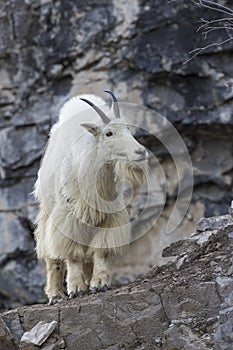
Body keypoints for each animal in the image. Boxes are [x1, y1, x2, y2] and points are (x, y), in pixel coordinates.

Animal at [33, 91, 148, 304]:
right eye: (108, 133)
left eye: (127, 128)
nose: (140, 152)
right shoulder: (67, 217)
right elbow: (73, 255)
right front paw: (76, 288)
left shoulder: (110, 216)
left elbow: (101, 250)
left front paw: (99, 284)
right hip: (48, 212)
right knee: (52, 257)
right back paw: (56, 294)